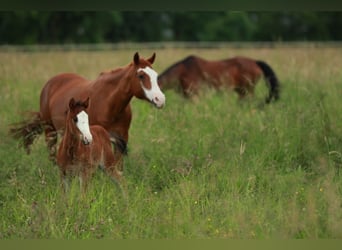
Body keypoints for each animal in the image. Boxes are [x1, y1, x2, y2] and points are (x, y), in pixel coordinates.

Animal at [10, 51, 166, 169]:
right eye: (141, 75)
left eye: (155, 76)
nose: (160, 99)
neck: (110, 104)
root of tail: (50, 84)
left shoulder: (121, 139)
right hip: (50, 130)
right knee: (51, 153)